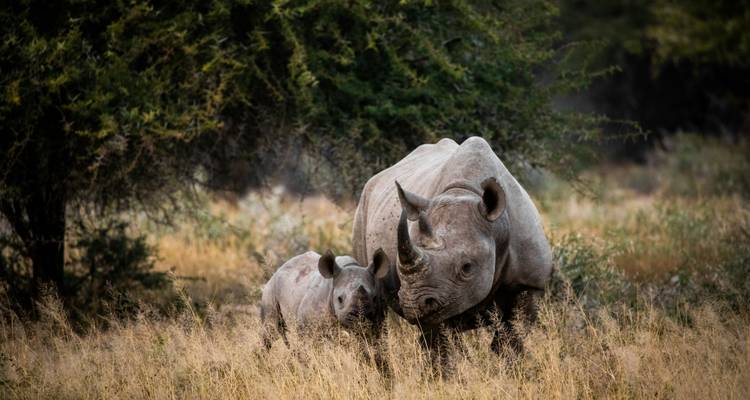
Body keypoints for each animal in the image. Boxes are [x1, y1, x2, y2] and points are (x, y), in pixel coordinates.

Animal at [260, 249, 390, 348]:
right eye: (339, 299)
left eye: (374, 298)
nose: (359, 318)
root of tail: (278, 270)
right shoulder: (306, 327)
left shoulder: (378, 324)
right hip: (270, 290)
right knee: (270, 332)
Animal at [352, 136, 552, 372]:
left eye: (467, 267)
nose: (413, 303)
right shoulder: (440, 294)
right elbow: (443, 345)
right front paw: (445, 377)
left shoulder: (529, 283)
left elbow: (510, 339)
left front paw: (513, 372)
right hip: (362, 210)